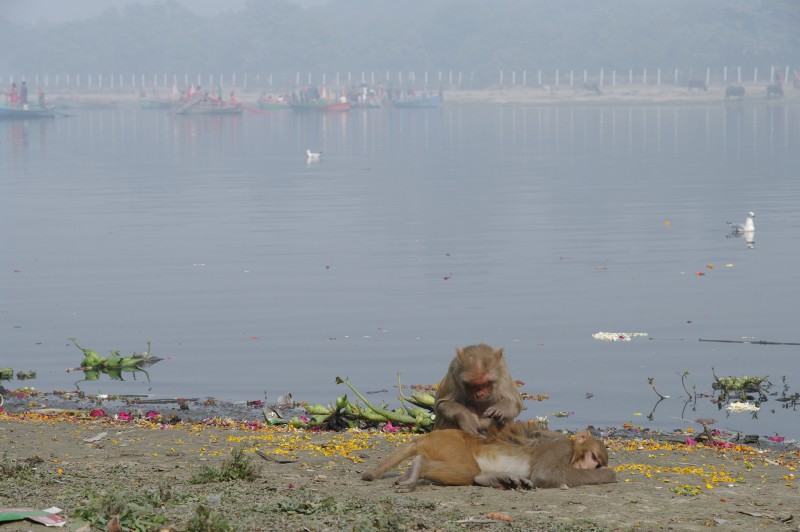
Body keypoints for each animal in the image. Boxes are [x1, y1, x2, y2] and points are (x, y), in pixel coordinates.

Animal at [362, 426, 620, 492]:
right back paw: (418, 467)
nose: (588, 465)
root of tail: (427, 436)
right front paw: (609, 474)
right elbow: (545, 474)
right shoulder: (561, 448)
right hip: (449, 443)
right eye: (593, 457)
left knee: (473, 474)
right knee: (467, 470)